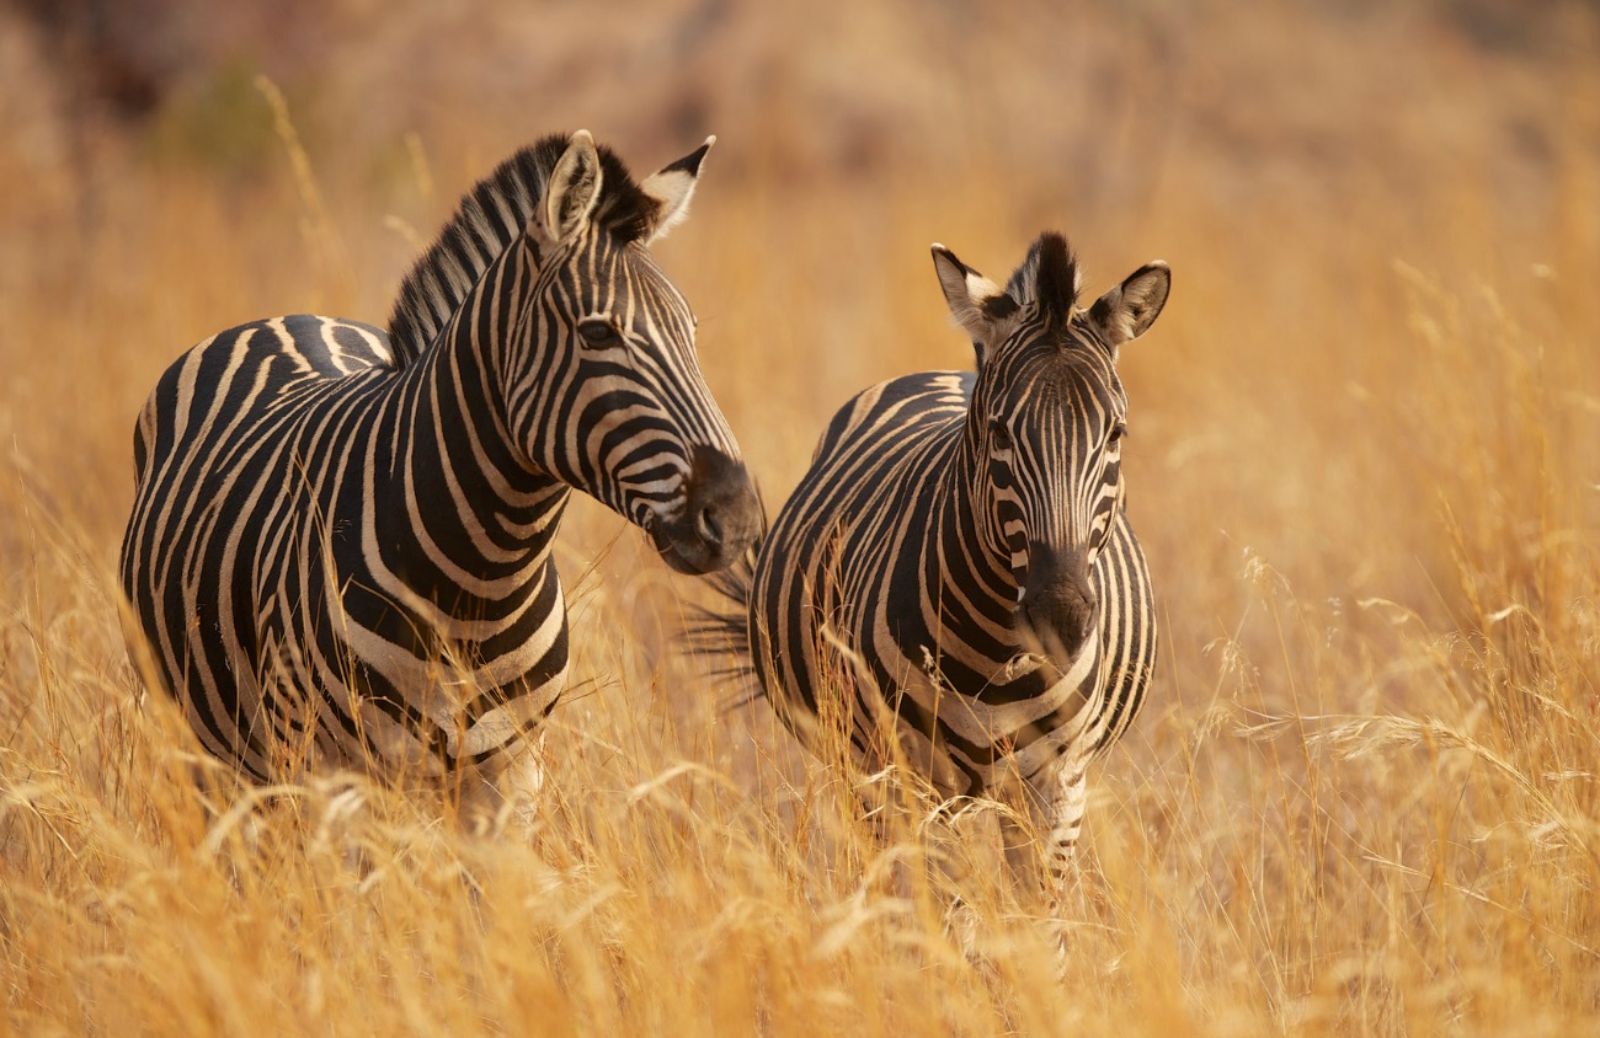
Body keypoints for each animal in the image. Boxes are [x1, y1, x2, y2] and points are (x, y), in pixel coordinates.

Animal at [121, 131, 758, 809]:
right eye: (596, 333)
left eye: (691, 331)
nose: (739, 517)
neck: (479, 585)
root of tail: (282, 318)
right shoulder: (330, 772)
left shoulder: (510, 776)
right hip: (215, 747)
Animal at [694, 230, 1171, 895]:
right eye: (1000, 433)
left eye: (1115, 435)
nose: (1061, 618)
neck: (1002, 654)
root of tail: (950, 374)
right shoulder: (915, 781)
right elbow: (945, 909)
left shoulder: (1058, 786)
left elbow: (1037, 918)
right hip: (866, 770)